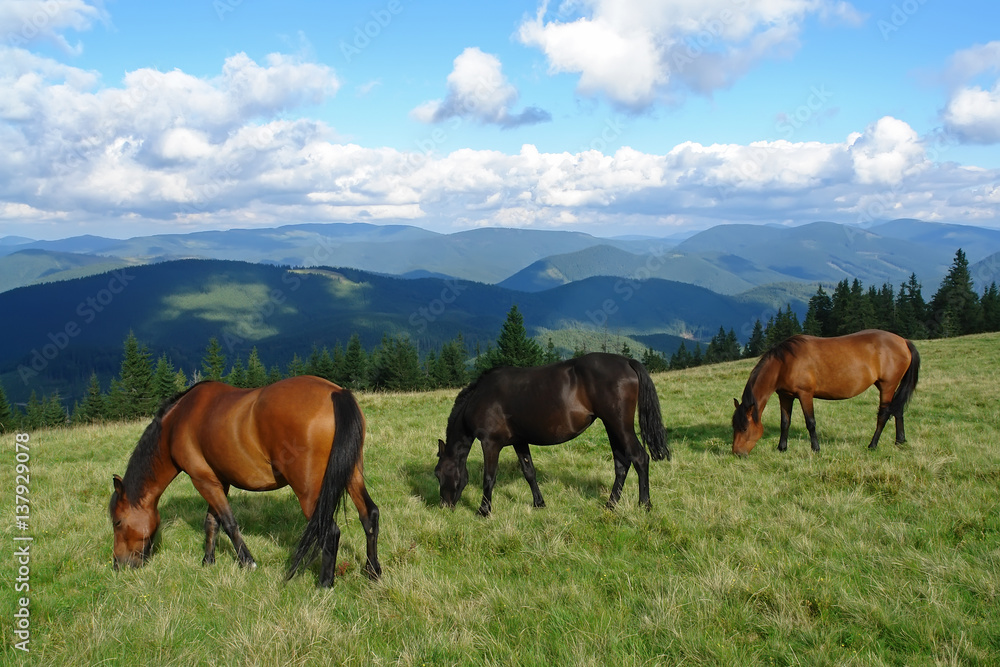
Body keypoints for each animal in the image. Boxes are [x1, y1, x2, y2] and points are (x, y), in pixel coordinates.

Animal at [109, 376, 380, 588]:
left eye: (117, 522)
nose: (117, 565)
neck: (179, 421)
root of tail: (335, 393)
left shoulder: (202, 480)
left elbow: (229, 523)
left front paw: (247, 562)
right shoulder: (218, 481)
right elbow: (212, 522)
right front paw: (208, 561)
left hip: (310, 493)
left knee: (330, 530)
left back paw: (325, 583)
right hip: (351, 474)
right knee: (369, 515)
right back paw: (373, 571)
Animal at [436, 354, 672, 516]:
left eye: (438, 474)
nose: (444, 506)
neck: (479, 398)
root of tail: (627, 361)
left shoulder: (490, 443)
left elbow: (489, 477)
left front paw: (483, 510)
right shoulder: (519, 441)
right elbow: (529, 472)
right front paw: (539, 503)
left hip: (619, 426)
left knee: (640, 458)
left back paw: (644, 504)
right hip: (612, 427)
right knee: (622, 464)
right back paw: (611, 504)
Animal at [732, 330, 916, 456]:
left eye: (744, 428)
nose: (737, 453)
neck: (784, 363)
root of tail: (903, 341)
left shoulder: (805, 394)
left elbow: (810, 422)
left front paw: (816, 448)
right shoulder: (785, 396)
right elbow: (785, 422)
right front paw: (781, 448)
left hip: (887, 386)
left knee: (884, 414)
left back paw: (873, 445)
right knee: (898, 410)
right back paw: (900, 441)